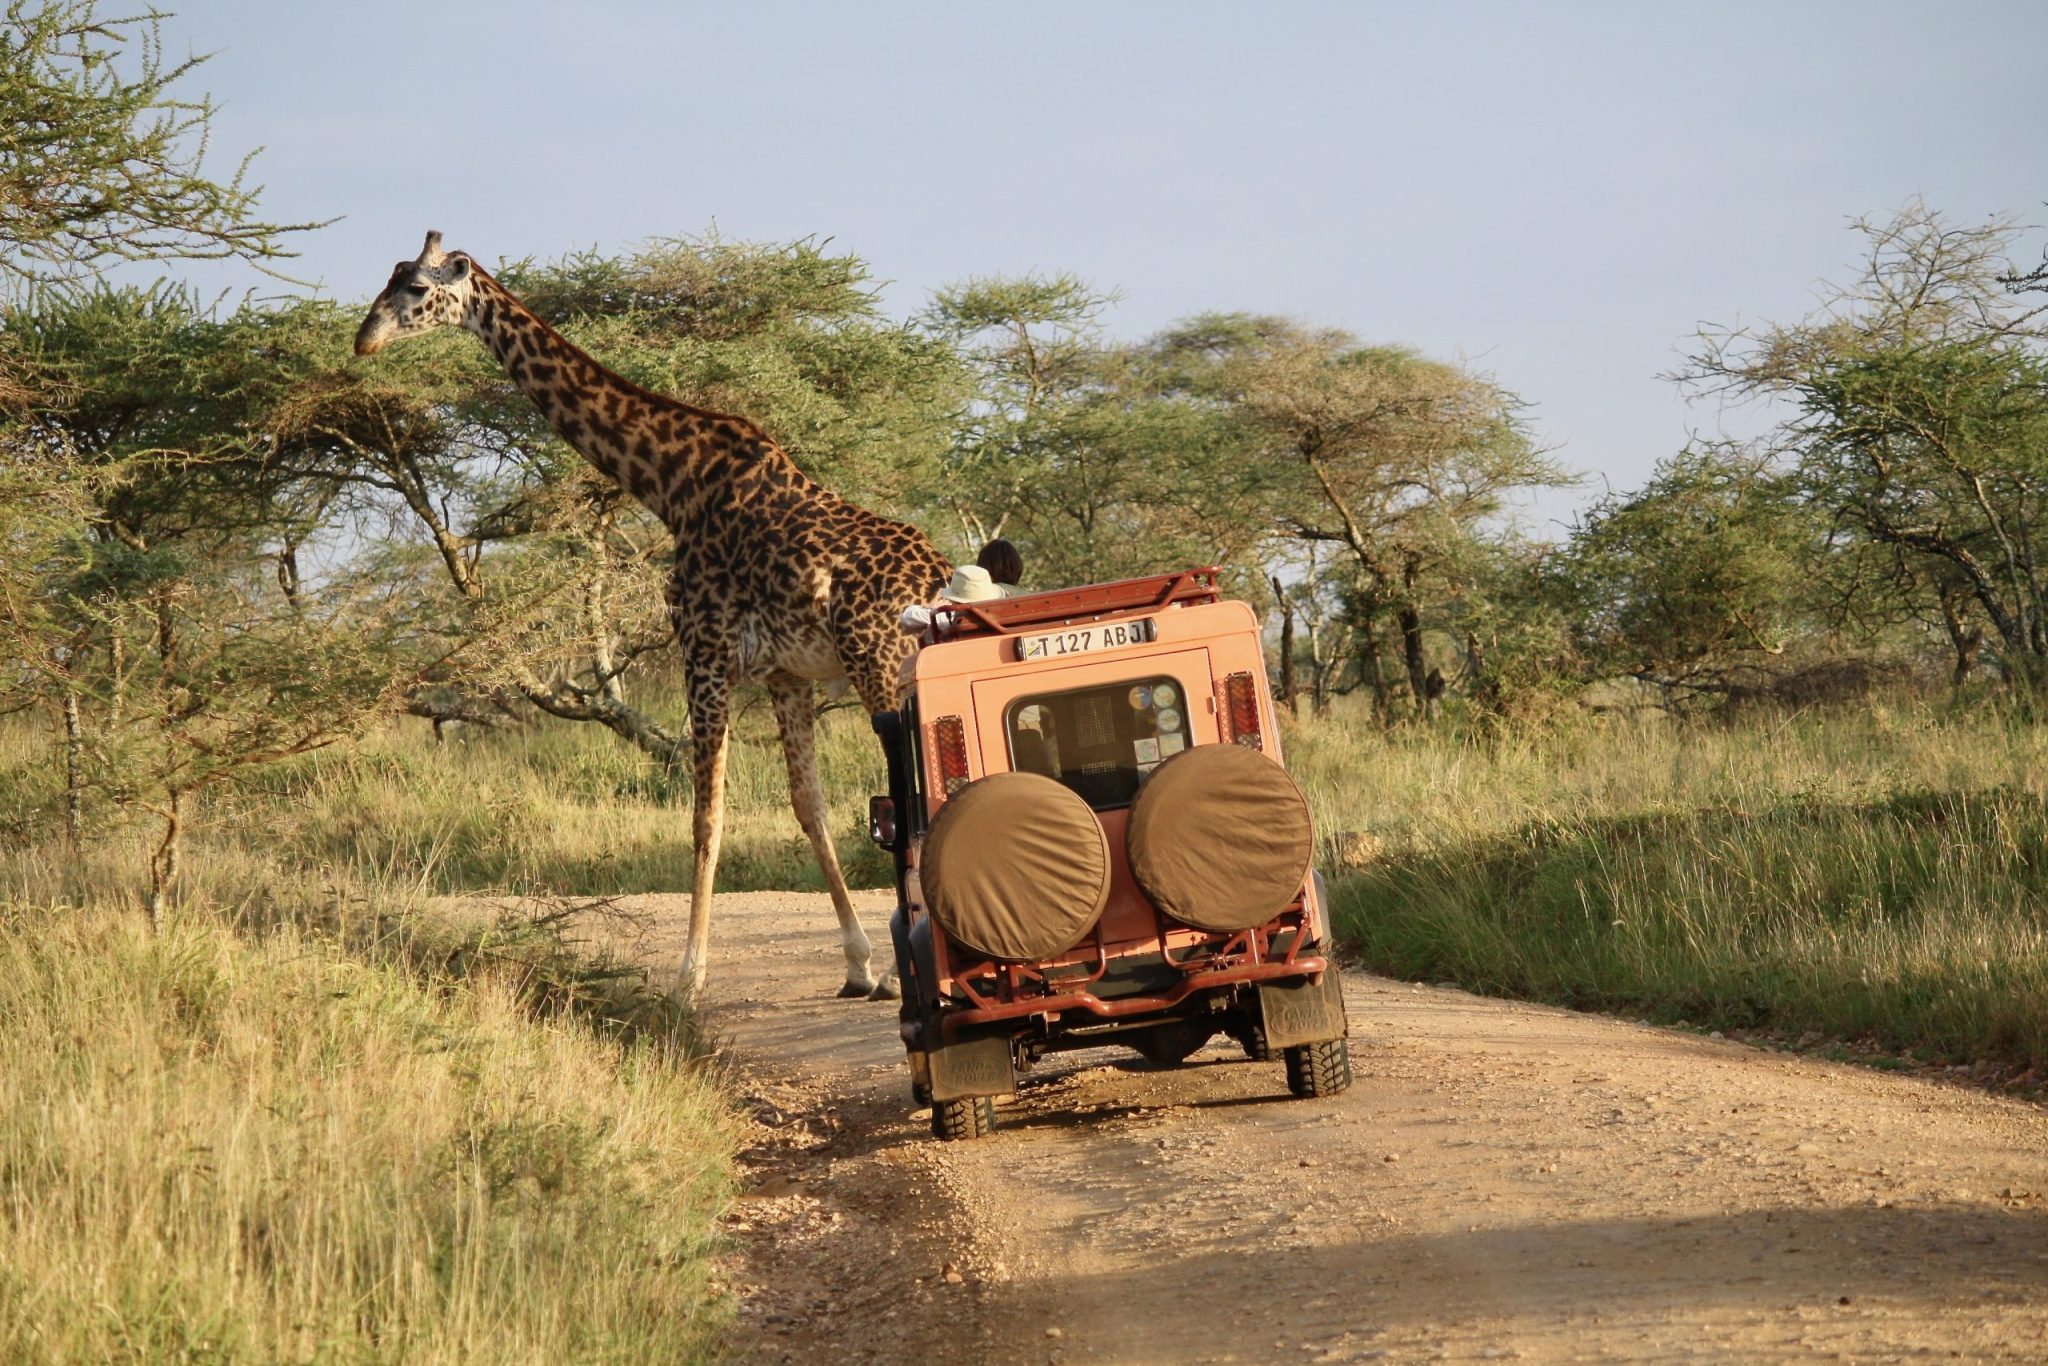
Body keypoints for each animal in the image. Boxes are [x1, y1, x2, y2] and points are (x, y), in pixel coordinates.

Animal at [355, 231, 949, 1001]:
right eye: (390, 277)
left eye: (417, 291)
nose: (364, 339)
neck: (672, 483)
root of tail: (938, 576)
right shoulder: (786, 674)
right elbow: (807, 806)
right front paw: (859, 965)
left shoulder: (704, 651)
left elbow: (706, 816)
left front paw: (687, 978)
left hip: (880, 667)